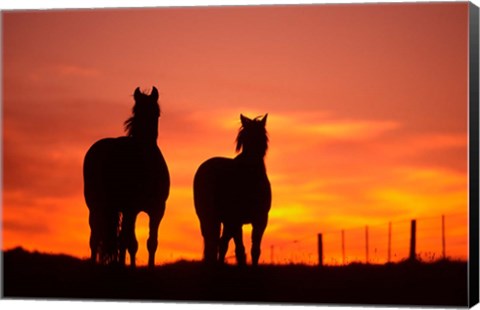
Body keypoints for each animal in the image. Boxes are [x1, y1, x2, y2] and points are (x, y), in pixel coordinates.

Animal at [83, 86, 170, 268]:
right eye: (137, 111)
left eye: (156, 113)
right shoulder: (131, 209)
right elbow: (130, 243)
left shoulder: (157, 209)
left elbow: (151, 242)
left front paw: (149, 267)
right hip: (95, 206)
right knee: (95, 238)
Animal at [194, 114, 270, 266]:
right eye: (244, 138)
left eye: (262, 136)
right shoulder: (237, 220)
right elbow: (240, 250)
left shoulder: (259, 219)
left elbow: (254, 250)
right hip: (211, 218)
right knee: (215, 243)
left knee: (219, 243)